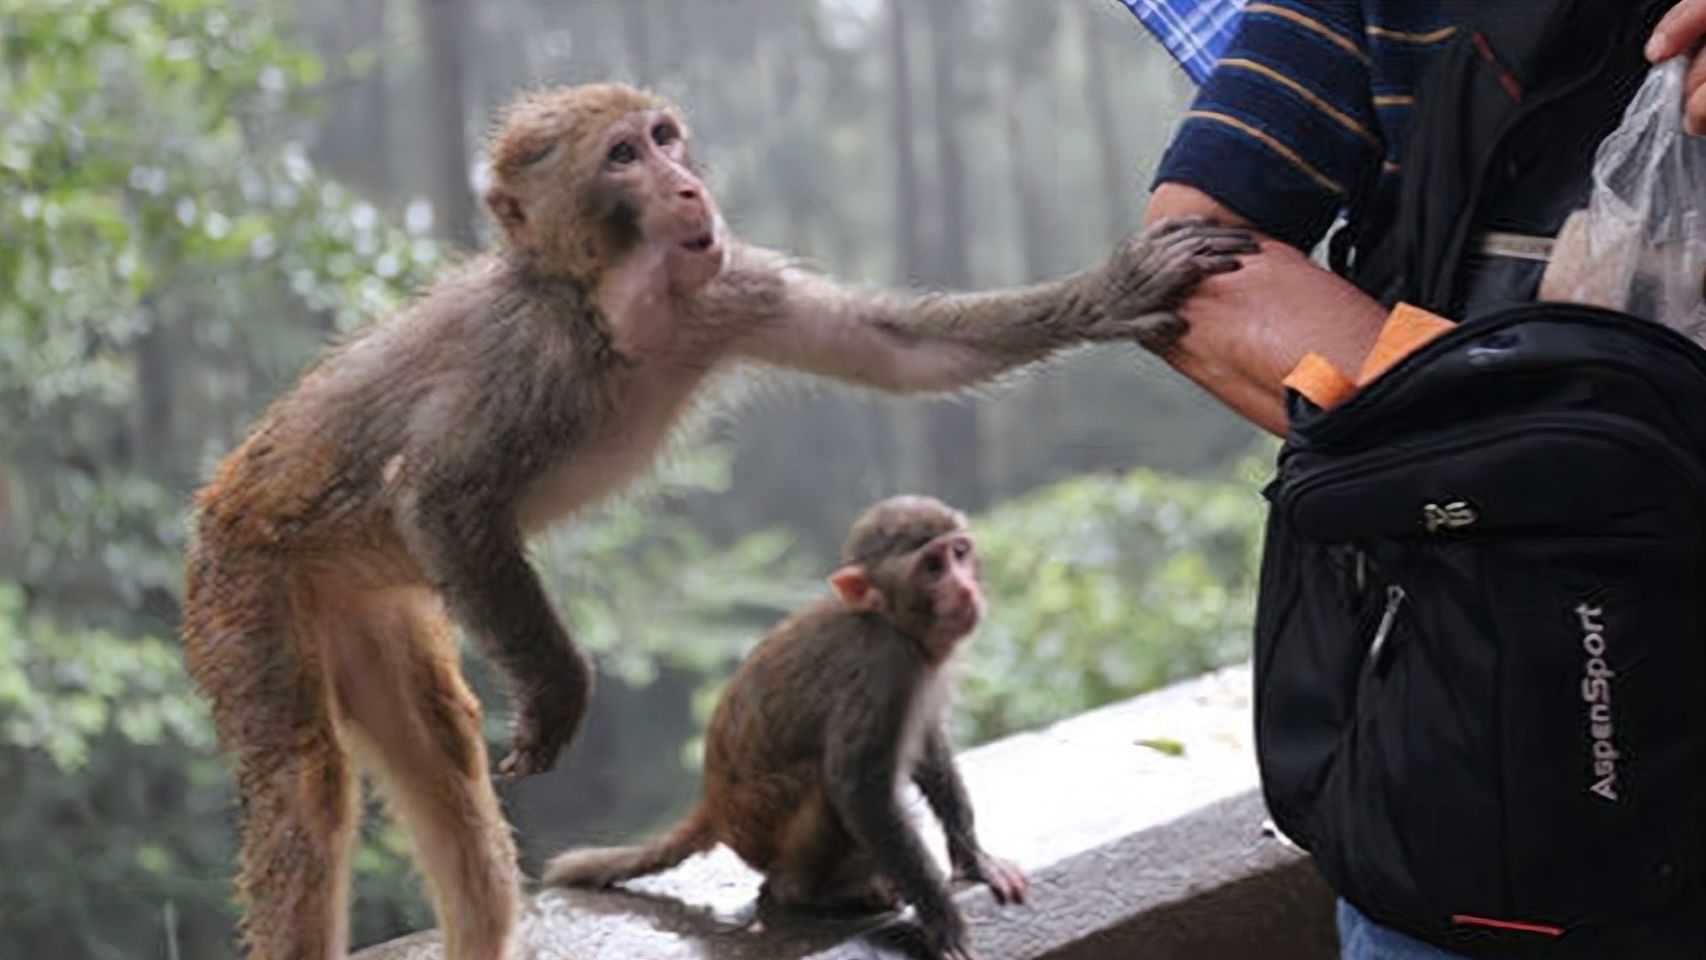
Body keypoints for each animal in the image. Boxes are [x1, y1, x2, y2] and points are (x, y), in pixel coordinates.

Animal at [549, 501, 1009, 954]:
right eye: (931, 566)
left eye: (959, 553)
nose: (965, 589)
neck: (888, 622)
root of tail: (712, 805)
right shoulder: (879, 668)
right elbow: (859, 789)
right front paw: (941, 919)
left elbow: (929, 750)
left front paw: (974, 859)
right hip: (760, 824)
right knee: (821, 786)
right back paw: (809, 893)